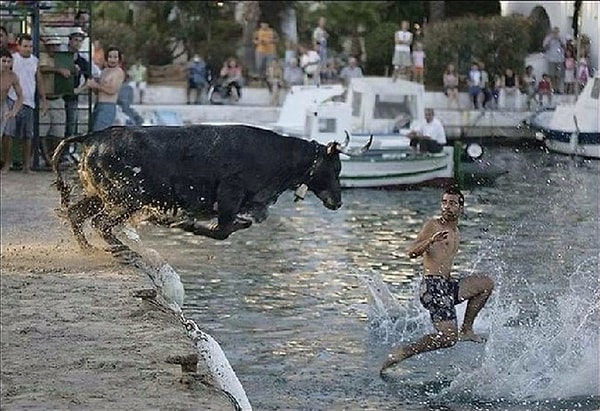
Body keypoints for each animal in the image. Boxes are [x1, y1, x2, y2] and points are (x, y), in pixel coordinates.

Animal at [52, 124, 370, 249]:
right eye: (335, 168)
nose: (338, 202)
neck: (274, 156)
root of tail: (93, 136)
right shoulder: (230, 194)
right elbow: (223, 231)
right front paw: (182, 224)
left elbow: (237, 225)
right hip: (129, 197)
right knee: (101, 223)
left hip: (99, 195)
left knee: (78, 215)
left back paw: (87, 249)